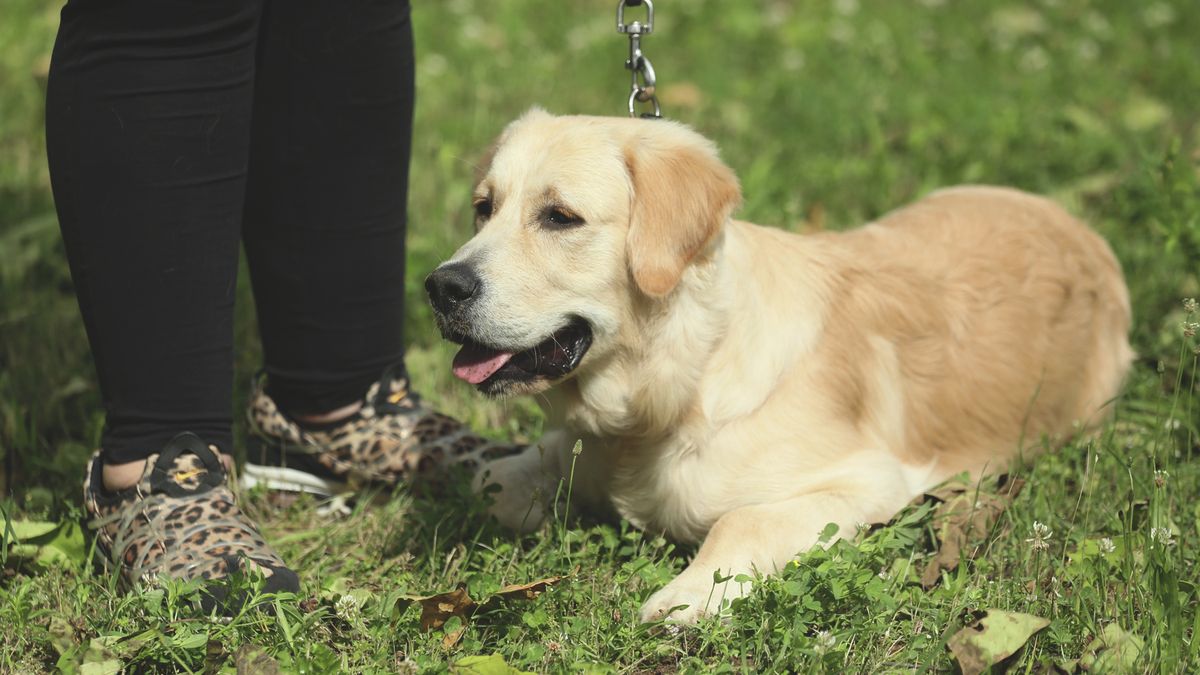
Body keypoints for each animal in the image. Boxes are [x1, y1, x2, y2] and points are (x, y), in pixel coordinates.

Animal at [424, 109, 1132, 619]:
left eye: (560, 217)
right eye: (484, 208)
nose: (440, 287)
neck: (679, 382)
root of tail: (1080, 229)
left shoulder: (874, 480)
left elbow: (744, 518)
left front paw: (686, 596)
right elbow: (492, 479)